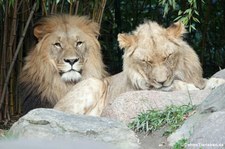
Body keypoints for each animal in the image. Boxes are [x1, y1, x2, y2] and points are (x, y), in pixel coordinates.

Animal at [54, 20, 225, 116]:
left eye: (167, 57)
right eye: (147, 62)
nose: (162, 82)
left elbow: (206, 81)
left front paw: (216, 83)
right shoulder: (146, 89)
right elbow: (177, 86)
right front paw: (191, 88)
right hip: (94, 82)